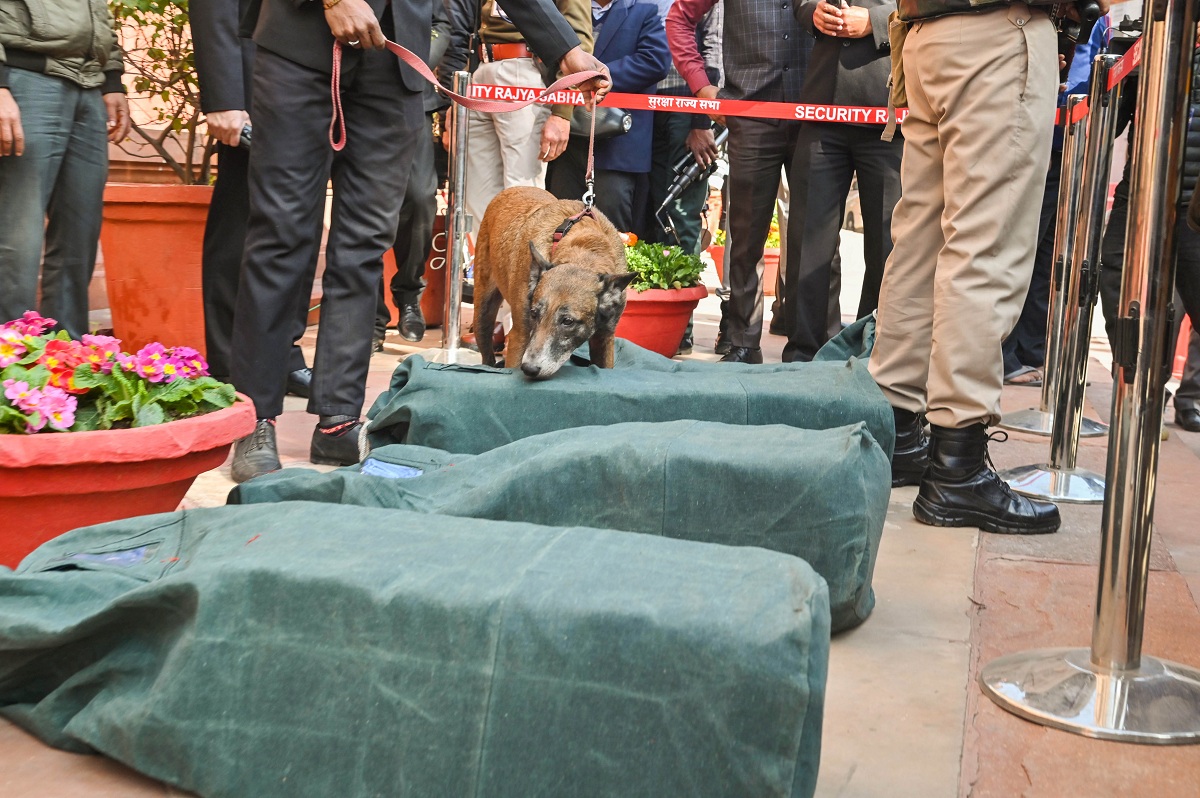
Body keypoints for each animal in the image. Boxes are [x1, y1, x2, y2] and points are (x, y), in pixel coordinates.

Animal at [472, 184, 638, 379]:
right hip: (483, 313)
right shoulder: (520, 336)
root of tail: (512, 189)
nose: (529, 369)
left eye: (568, 321)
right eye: (534, 313)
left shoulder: (604, 338)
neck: (584, 251)